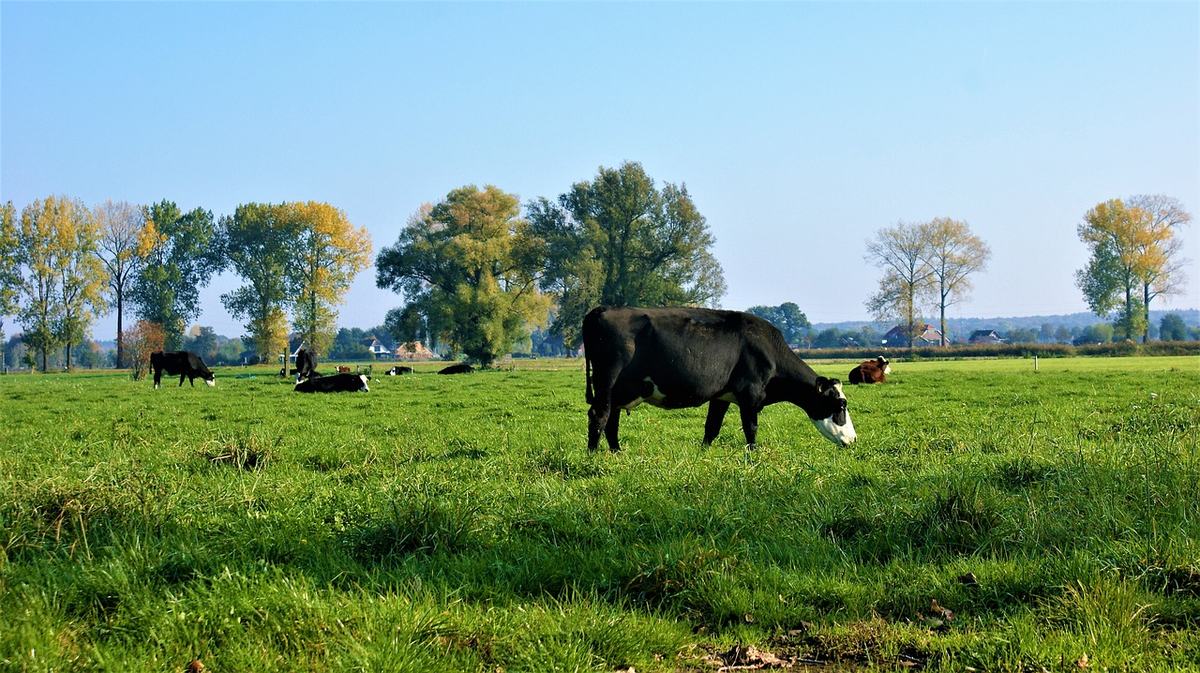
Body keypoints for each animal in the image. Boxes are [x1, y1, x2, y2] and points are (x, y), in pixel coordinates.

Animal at [582, 306, 856, 452]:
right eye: (840, 405)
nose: (853, 439)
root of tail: (602, 310)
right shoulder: (750, 395)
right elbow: (751, 428)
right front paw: (753, 455)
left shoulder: (721, 396)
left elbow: (711, 427)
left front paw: (703, 453)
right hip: (606, 381)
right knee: (599, 416)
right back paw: (593, 455)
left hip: (618, 390)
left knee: (611, 419)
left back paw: (617, 453)